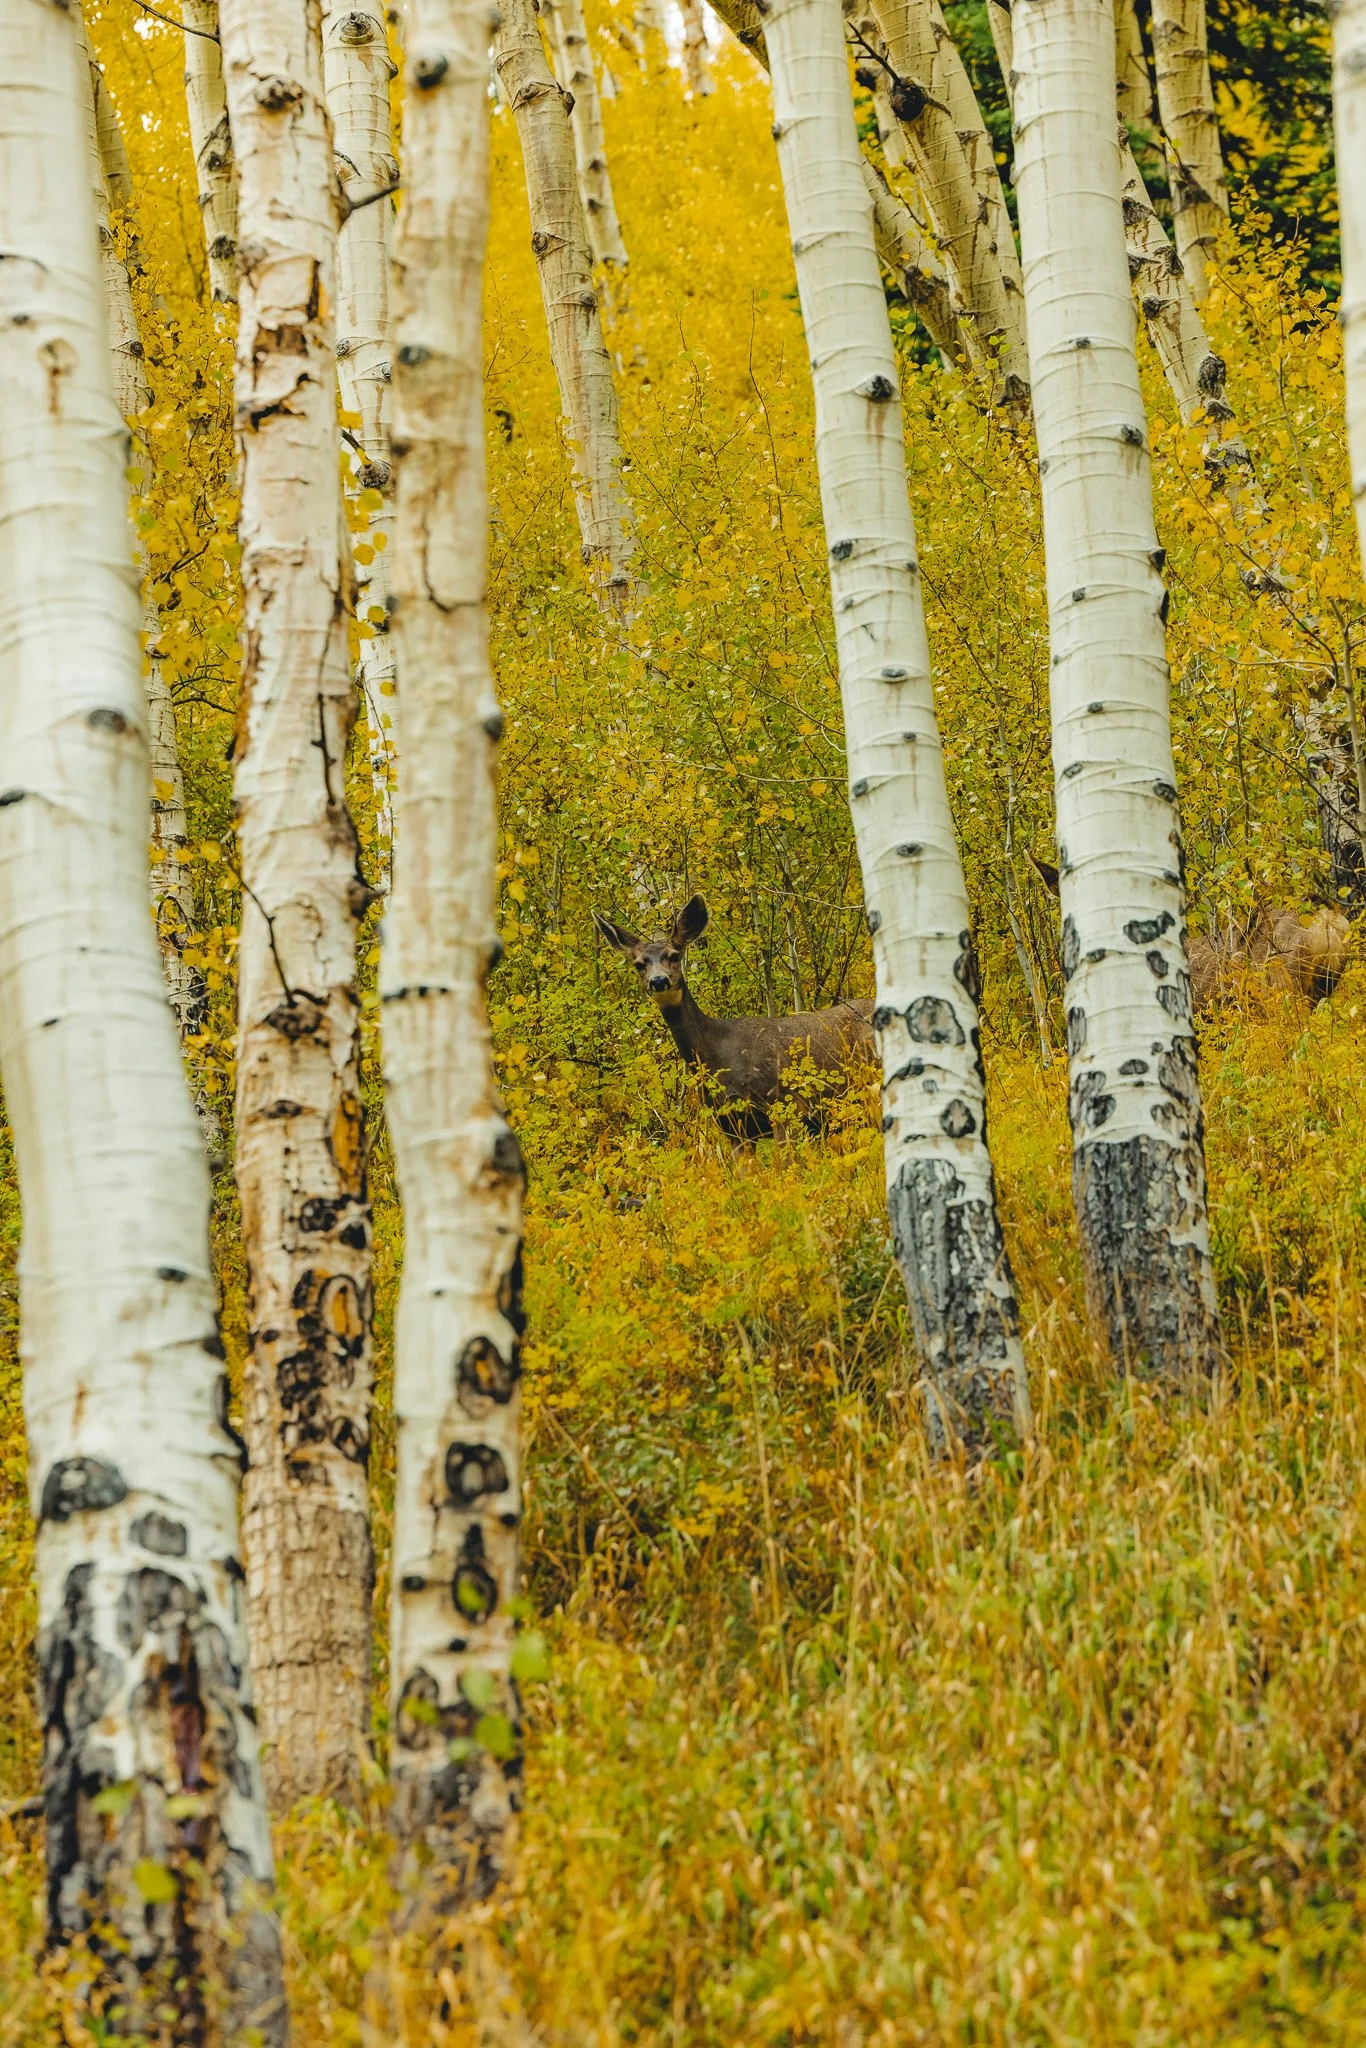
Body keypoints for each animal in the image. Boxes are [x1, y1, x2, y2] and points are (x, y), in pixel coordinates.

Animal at [592, 895, 876, 1140]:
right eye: (639, 964)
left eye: (674, 955)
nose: (658, 980)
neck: (718, 1054)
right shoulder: (730, 1125)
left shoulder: (783, 1106)